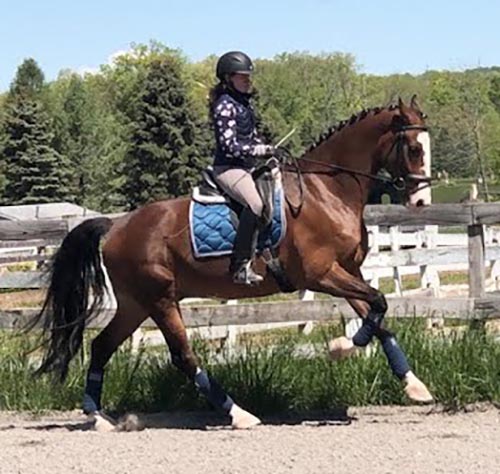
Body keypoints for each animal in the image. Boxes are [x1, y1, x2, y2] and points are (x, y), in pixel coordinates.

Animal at [32, 96, 434, 430]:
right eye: (414, 148)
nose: (421, 202)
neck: (326, 192)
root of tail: (117, 225)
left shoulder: (347, 271)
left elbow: (378, 317)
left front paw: (415, 386)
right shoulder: (321, 274)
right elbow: (377, 305)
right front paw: (340, 348)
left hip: (136, 303)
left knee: (102, 346)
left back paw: (98, 417)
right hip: (160, 299)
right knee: (182, 356)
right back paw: (239, 414)